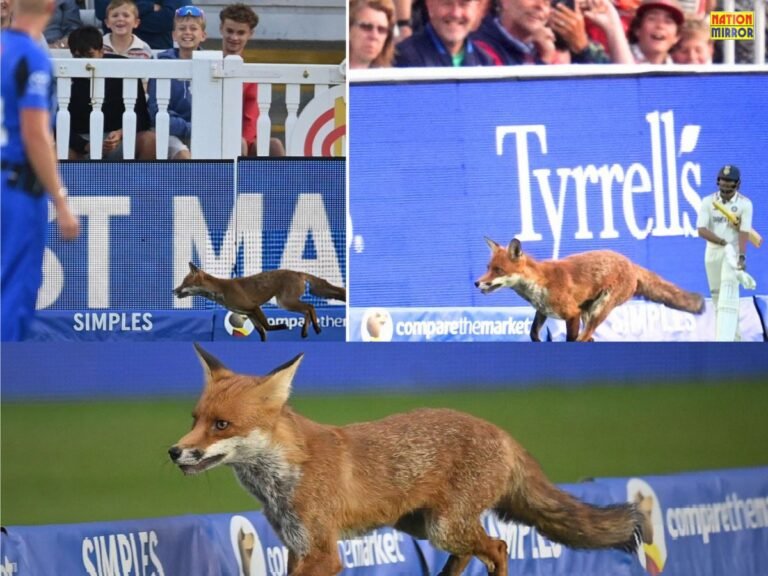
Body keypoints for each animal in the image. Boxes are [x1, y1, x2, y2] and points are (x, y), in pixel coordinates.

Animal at [169, 344, 652, 576]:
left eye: (221, 425)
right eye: (195, 419)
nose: (174, 452)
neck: (282, 477)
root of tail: (503, 433)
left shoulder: (323, 552)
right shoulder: (296, 546)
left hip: (443, 527)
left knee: (497, 547)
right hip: (422, 525)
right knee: (466, 556)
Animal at [173, 263, 346, 341]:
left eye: (185, 283)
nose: (173, 291)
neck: (221, 290)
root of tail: (297, 272)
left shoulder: (253, 307)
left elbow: (268, 327)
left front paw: (282, 326)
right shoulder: (249, 314)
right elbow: (262, 332)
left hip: (285, 302)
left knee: (310, 307)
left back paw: (315, 328)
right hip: (287, 303)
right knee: (308, 310)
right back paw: (306, 331)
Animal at [475, 238, 705, 342]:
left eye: (498, 270)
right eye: (487, 268)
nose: (477, 283)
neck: (539, 285)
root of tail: (630, 263)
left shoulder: (572, 313)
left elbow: (570, 339)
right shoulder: (542, 311)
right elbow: (532, 333)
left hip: (597, 311)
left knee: (585, 337)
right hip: (588, 312)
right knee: (589, 338)